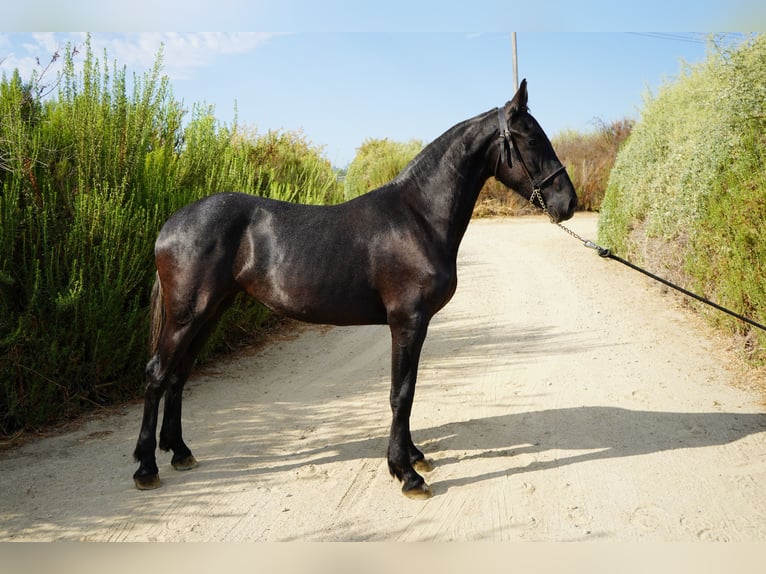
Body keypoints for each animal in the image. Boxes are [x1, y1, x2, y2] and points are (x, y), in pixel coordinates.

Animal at [132, 79, 577, 499]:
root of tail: (171, 224)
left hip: (210, 312)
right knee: (157, 373)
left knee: (179, 374)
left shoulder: (416, 325)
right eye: (532, 139)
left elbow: (409, 390)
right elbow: (401, 393)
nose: (568, 203)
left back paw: (180, 452)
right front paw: (406, 474)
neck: (417, 218)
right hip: (187, 315)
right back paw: (146, 468)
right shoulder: (407, 320)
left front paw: (413, 456)